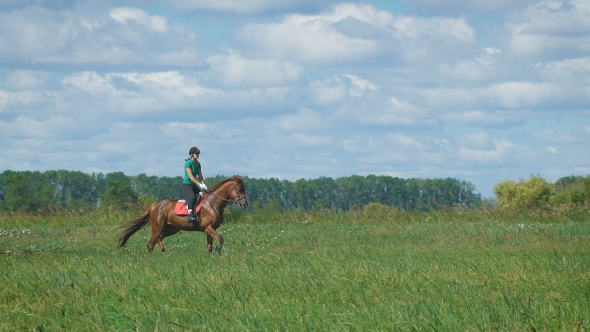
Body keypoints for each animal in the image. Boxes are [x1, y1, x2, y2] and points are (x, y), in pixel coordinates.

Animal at [117, 175, 249, 253]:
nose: (244, 205)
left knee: (159, 239)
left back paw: (164, 254)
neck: (213, 204)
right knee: (150, 244)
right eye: (239, 189)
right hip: (158, 228)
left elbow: (209, 246)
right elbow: (221, 239)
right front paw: (218, 250)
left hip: (172, 229)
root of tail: (154, 206)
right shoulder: (208, 227)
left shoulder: (211, 229)